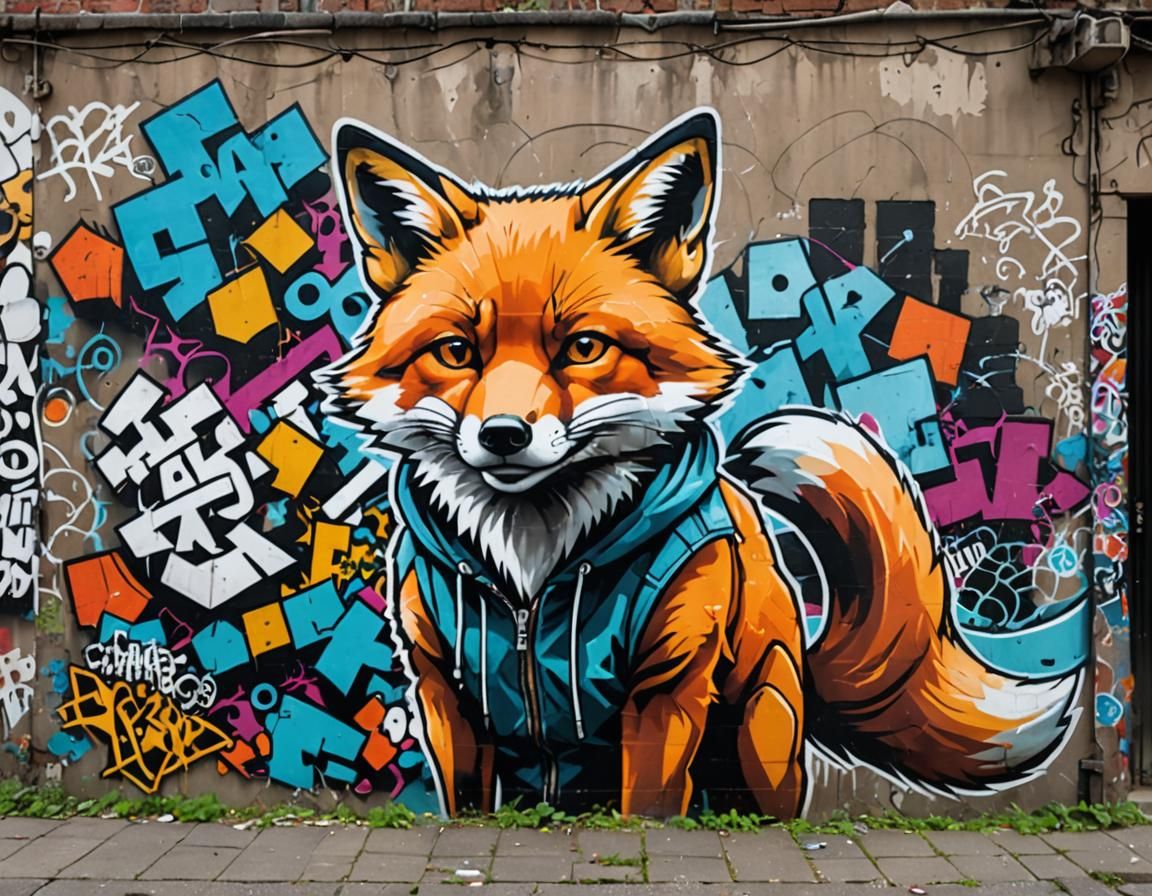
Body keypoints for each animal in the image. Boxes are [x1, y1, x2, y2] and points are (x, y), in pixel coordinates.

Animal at [319, 109, 1081, 819]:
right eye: (455, 352)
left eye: (584, 347)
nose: (504, 435)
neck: (534, 571)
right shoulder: (445, 696)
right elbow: (465, 801)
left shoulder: (666, 687)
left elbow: (651, 805)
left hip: (764, 733)